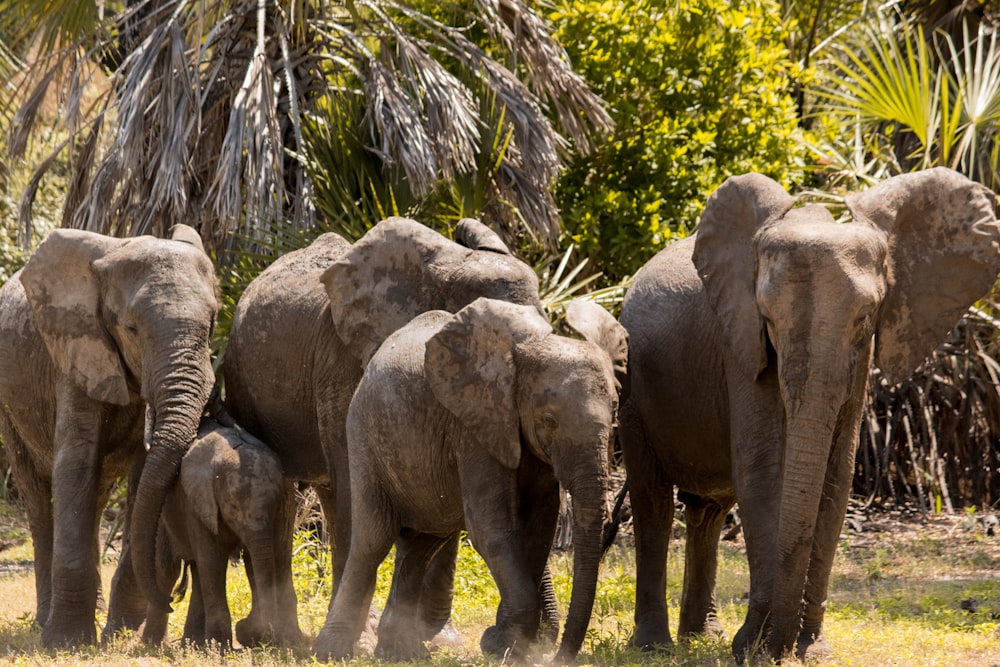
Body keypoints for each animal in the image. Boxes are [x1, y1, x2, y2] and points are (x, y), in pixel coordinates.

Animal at [0, 224, 217, 648]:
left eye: (213, 322)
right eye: (131, 329)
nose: (172, 600)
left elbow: (141, 475)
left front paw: (120, 632)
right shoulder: (74, 347)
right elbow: (75, 461)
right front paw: (66, 643)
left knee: (98, 495)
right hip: (8, 402)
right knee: (36, 494)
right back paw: (43, 622)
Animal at [139, 420, 300, 648]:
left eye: (276, 504)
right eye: (232, 507)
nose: (261, 635)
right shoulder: (198, 503)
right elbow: (212, 557)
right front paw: (222, 649)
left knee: (197, 571)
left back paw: (193, 644)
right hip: (164, 516)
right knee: (169, 568)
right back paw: (155, 643)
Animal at [222, 218, 544, 652]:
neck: (448, 264)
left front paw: (440, 644)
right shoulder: (341, 359)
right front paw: (362, 643)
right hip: (243, 378)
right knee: (289, 491)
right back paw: (277, 637)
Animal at [312, 300, 624, 664]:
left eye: (615, 413)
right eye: (549, 419)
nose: (555, 657)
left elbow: (540, 528)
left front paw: (504, 645)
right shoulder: (474, 429)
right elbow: (491, 529)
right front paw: (501, 647)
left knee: (424, 544)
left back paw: (401, 652)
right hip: (363, 436)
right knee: (373, 539)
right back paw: (332, 652)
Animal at [616, 168, 1000, 664]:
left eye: (865, 317)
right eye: (767, 318)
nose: (776, 647)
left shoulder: (861, 359)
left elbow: (836, 478)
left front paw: (811, 651)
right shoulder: (739, 342)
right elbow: (763, 472)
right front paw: (754, 649)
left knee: (708, 510)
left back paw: (702, 637)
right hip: (631, 384)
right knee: (653, 500)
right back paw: (654, 646)